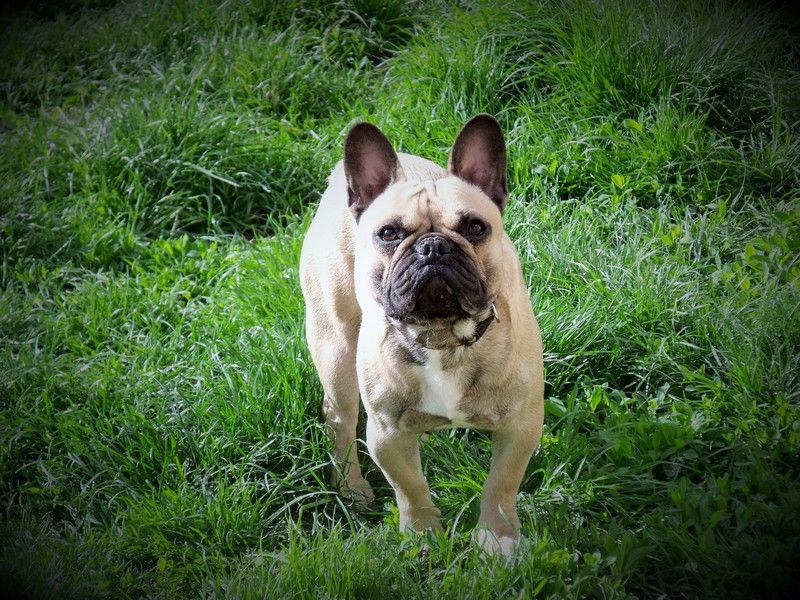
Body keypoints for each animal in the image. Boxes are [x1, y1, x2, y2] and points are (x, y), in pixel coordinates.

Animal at [300, 113, 544, 556]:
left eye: (476, 228)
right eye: (389, 234)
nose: (433, 247)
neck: (442, 338)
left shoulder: (520, 425)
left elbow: (501, 486)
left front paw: (496, 541)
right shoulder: (387, 433)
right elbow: (410, 488)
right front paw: (422, 535)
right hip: (336, 347)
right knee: (340, 419)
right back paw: (351, 487)